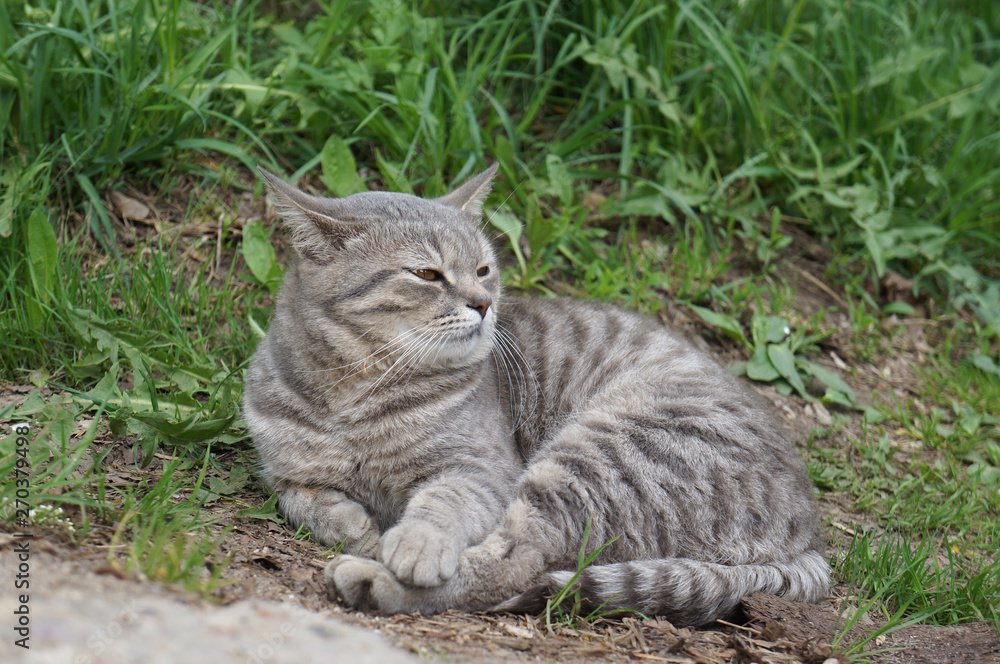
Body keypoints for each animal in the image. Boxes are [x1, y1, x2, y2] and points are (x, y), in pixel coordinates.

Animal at [244, 163, 828, 624]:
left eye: (483, 270)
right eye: (428, 274)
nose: (483, 303)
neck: (351, 395)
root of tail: (810, 538)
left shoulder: (480, 468)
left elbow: (441, 503)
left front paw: (413, 542)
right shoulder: (285, 471)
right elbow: (303, 500)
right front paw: (355, 525)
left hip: (597, 458)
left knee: (514, 563)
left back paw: (374, 581)